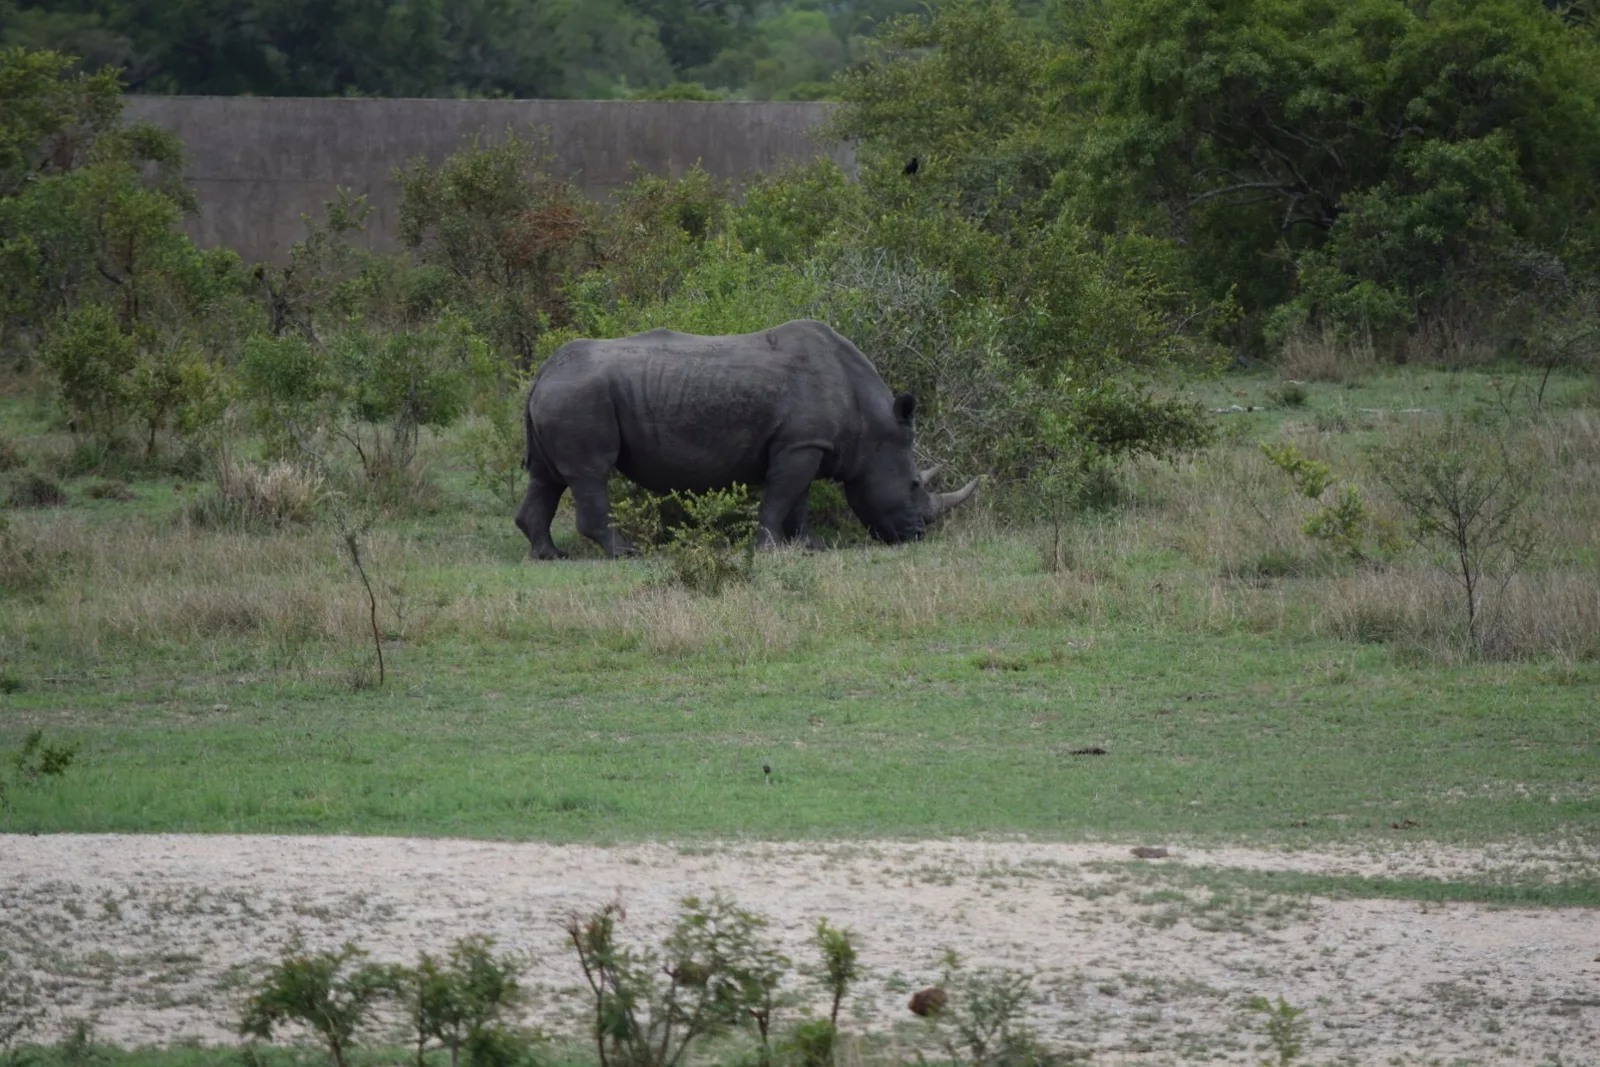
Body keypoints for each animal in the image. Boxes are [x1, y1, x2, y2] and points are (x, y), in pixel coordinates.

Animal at [515, 319, 979, 559]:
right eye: (914, 484)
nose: (917, 535)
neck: (869, 419)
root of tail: (543, 372)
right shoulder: (800, 446)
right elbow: (779, 499)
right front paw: (770, 549)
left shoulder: (804, 444)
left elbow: (797, 501)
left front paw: (810, 547)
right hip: (580, 395)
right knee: (590, 472)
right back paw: (627, 553)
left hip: (564, 392)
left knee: (547, 477)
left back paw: (549, 556)